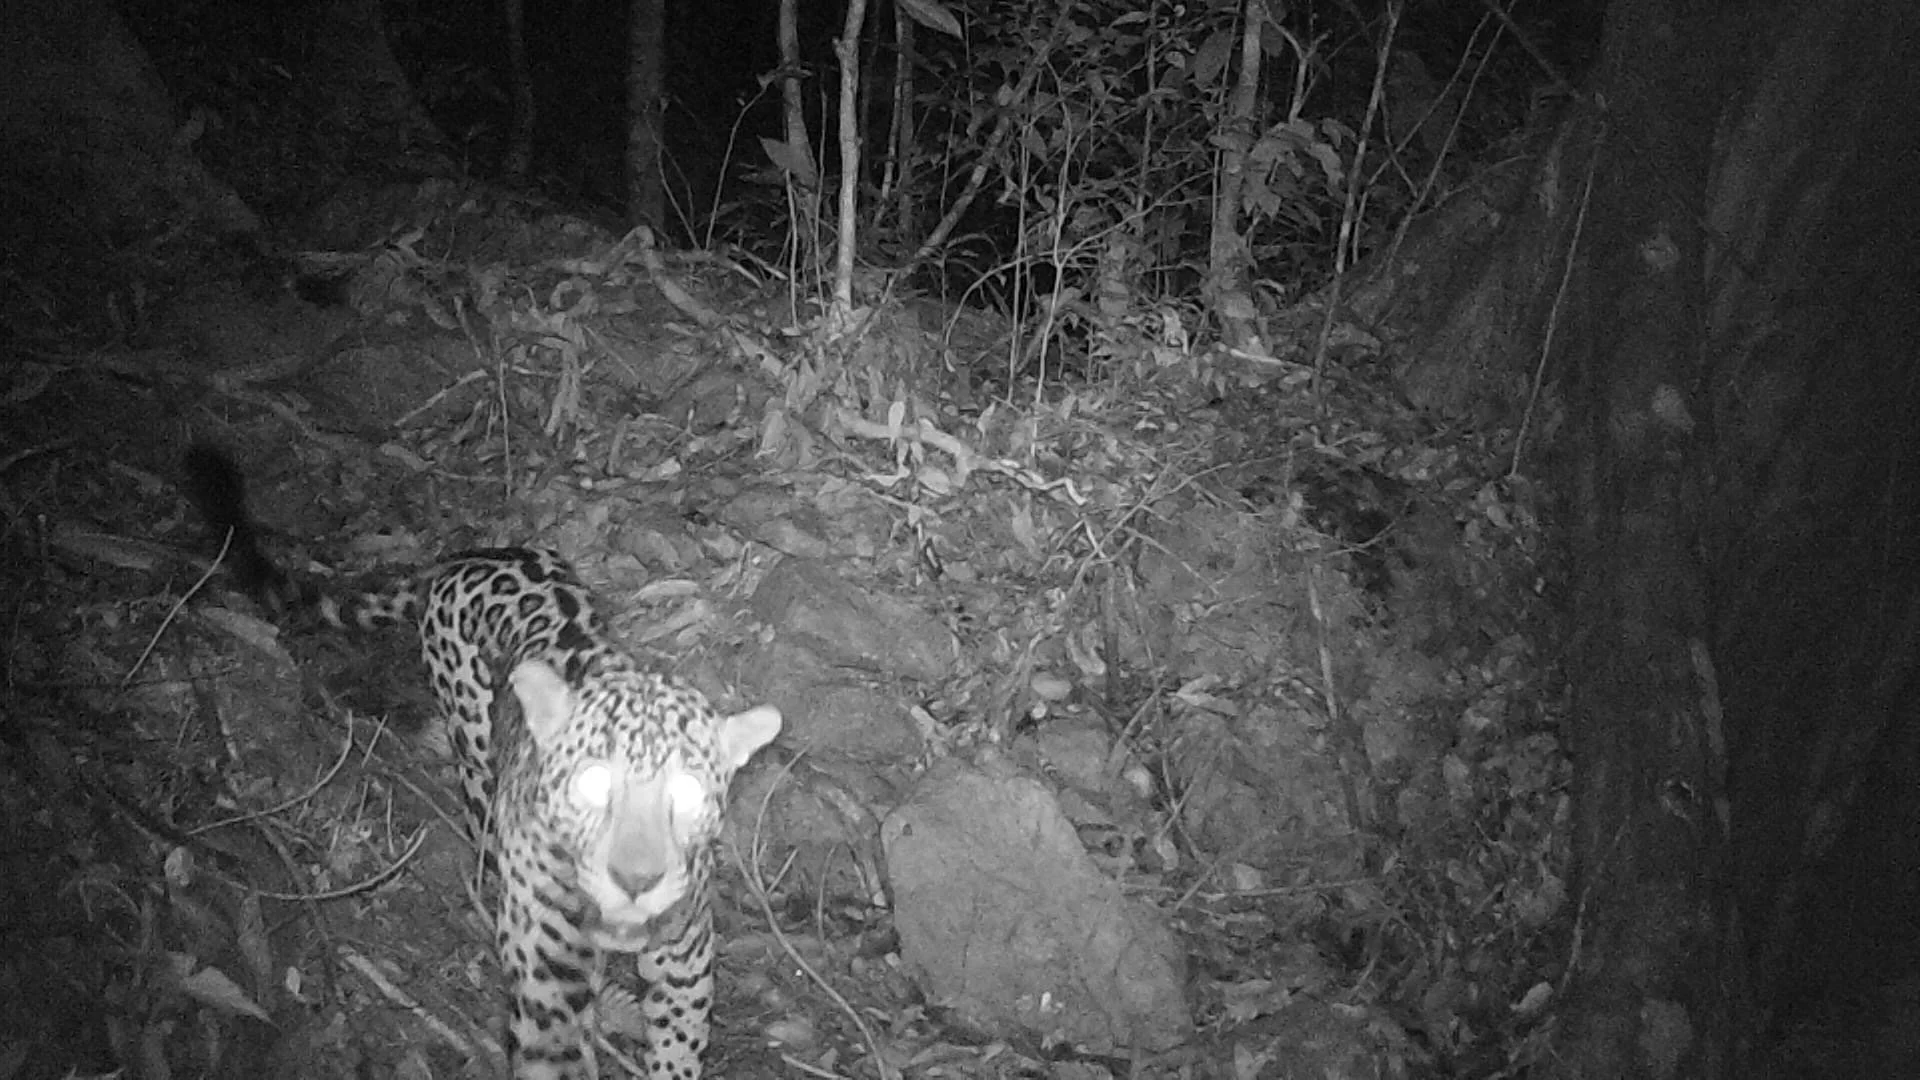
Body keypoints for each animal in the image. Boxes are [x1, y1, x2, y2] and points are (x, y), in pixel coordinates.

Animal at [184, 444, 782, 1080]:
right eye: (592, 784)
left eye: (687, 794)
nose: (637, 880)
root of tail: (463, 557)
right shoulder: (546, 968)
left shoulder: (683, 962)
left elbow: (677, 1048)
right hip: (470, 732)